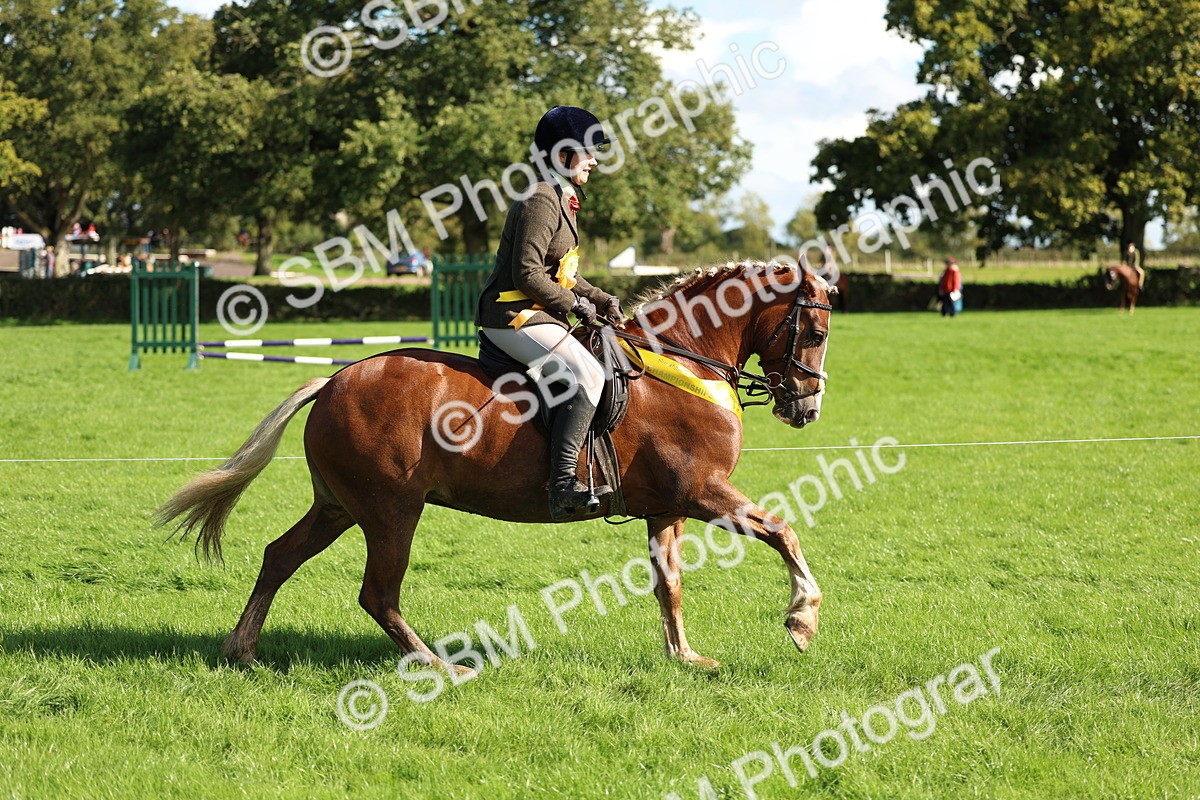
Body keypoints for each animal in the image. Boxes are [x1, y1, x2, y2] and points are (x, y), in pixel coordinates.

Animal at [156, 262, 835, 673]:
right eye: (817, 332)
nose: (806, 407)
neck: (688, 363)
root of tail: (335, 380)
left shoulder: (669, 508)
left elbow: (669, 584)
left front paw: (684, 658)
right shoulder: (703, 491)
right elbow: (782, 531)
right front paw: (801, 620)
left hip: (339, 506)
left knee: (281, 556)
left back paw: (241, 649)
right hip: (391, 510)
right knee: (378, 593)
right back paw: (436, 664)